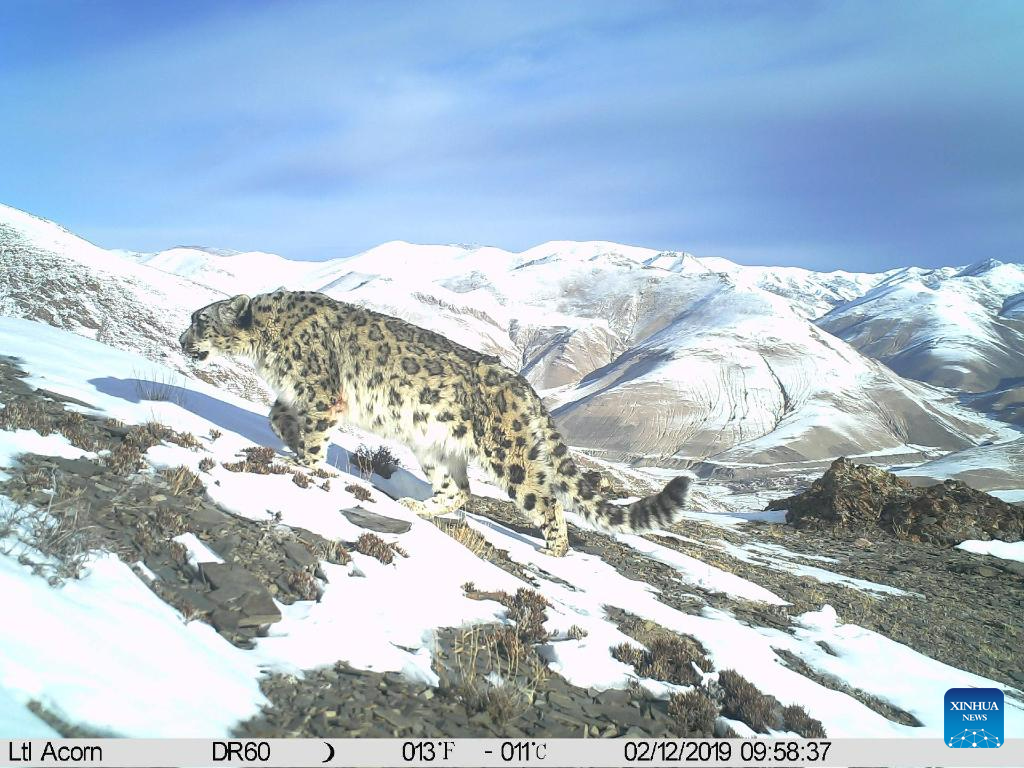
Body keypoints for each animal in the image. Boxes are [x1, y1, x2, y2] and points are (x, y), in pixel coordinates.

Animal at [180, 288, 692, 552]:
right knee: (459, 491)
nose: (182, 341)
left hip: (509, 456)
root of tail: (525, 386)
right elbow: (276, 413)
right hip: (435, 447)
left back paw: (555, 549)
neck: (265, 347)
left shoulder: (323, 394)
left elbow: (312, 436)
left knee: (546, 500)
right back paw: (416, 507)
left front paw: (305, 464)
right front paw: (286, 436)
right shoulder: (300, 394)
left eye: (199, 321)